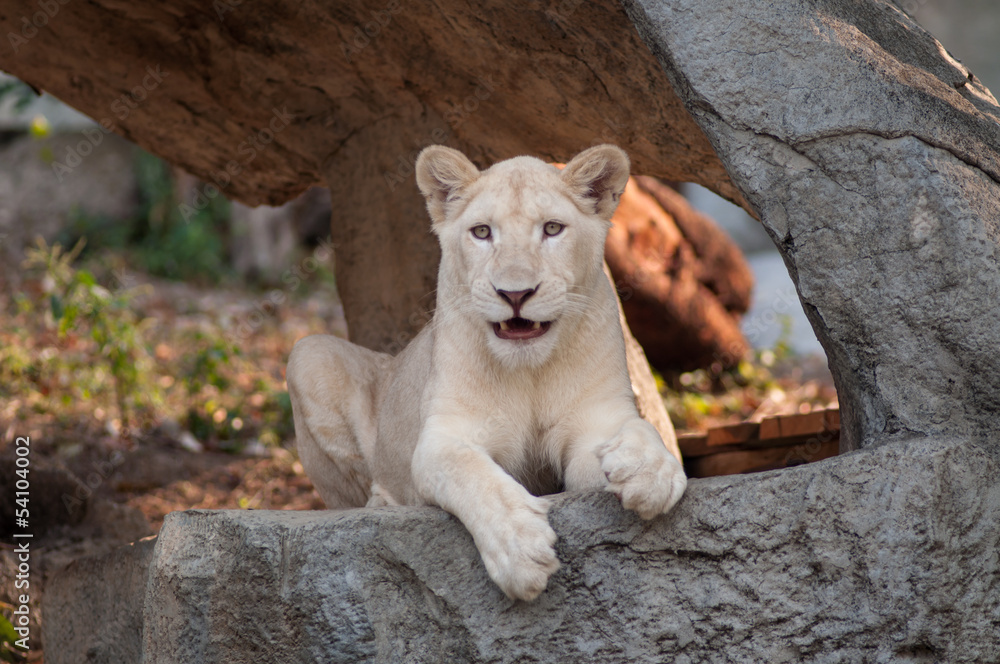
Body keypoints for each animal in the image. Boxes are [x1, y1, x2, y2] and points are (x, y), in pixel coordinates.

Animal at [286, 144, 687, 601]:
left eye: (552, 229)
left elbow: (638, 430)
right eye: (481, 232)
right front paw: (520, 550)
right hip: (308, 353)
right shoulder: (443, 438)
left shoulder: (595, 422)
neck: (529, 371)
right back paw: (383, 503)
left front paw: (651, 472)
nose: (515, 294)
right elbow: (473, 475)